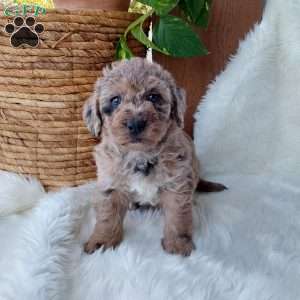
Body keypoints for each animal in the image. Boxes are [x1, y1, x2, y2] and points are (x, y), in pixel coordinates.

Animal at [82, 57, 225, 256]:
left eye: (153, 96)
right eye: (115, 100)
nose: (135, 123)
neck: (140, 154)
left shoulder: (177, 184)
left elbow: (178, 217)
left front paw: (178, 244)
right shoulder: (110, 184)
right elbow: (107, 217)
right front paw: (102, 241)